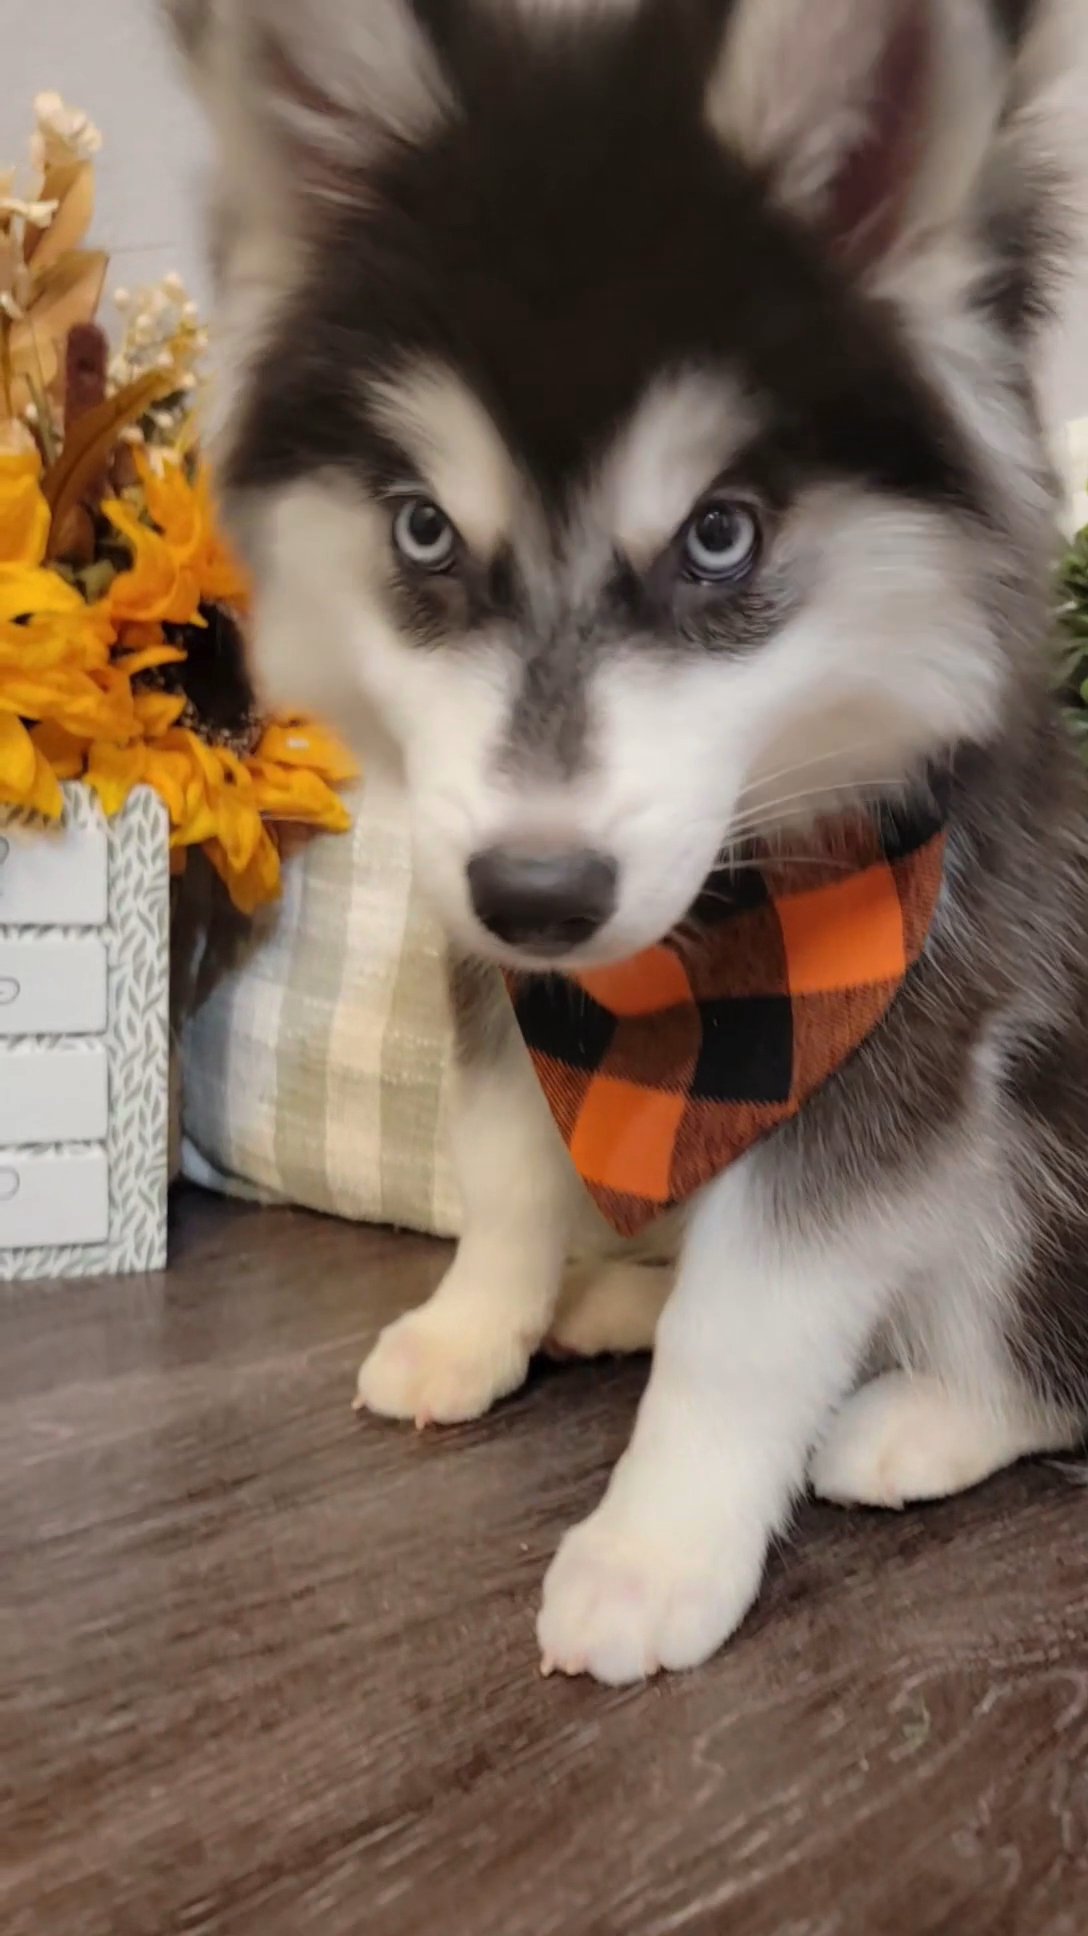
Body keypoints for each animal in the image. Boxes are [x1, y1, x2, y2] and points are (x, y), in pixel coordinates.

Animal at [173, 0, 1076, 1680]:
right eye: (422, 529)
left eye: (721, 535)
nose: (540, 892)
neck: (701, 965)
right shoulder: (493, 967)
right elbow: (509, 1159)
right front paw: (481, 1320)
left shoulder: (916, 1024)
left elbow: (757, 1315)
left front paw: (658, 1541)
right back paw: (617, 1297)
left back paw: (920, 1419)